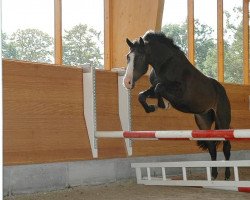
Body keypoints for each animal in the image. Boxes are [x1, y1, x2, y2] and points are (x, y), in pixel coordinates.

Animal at [124, 30, 231, 180]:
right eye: (128, 57)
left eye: (139, 57)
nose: (127, 82)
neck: (164, 64)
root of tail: (221, 89)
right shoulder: (153, 88)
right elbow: (143, 94)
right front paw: (152, 107)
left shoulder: (179, 91)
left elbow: (159, 87)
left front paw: (162, 104)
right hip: (203, 121)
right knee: (211, 147)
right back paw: (214, 175)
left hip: (222, 120)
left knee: (226, 146)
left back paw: (227, 175)